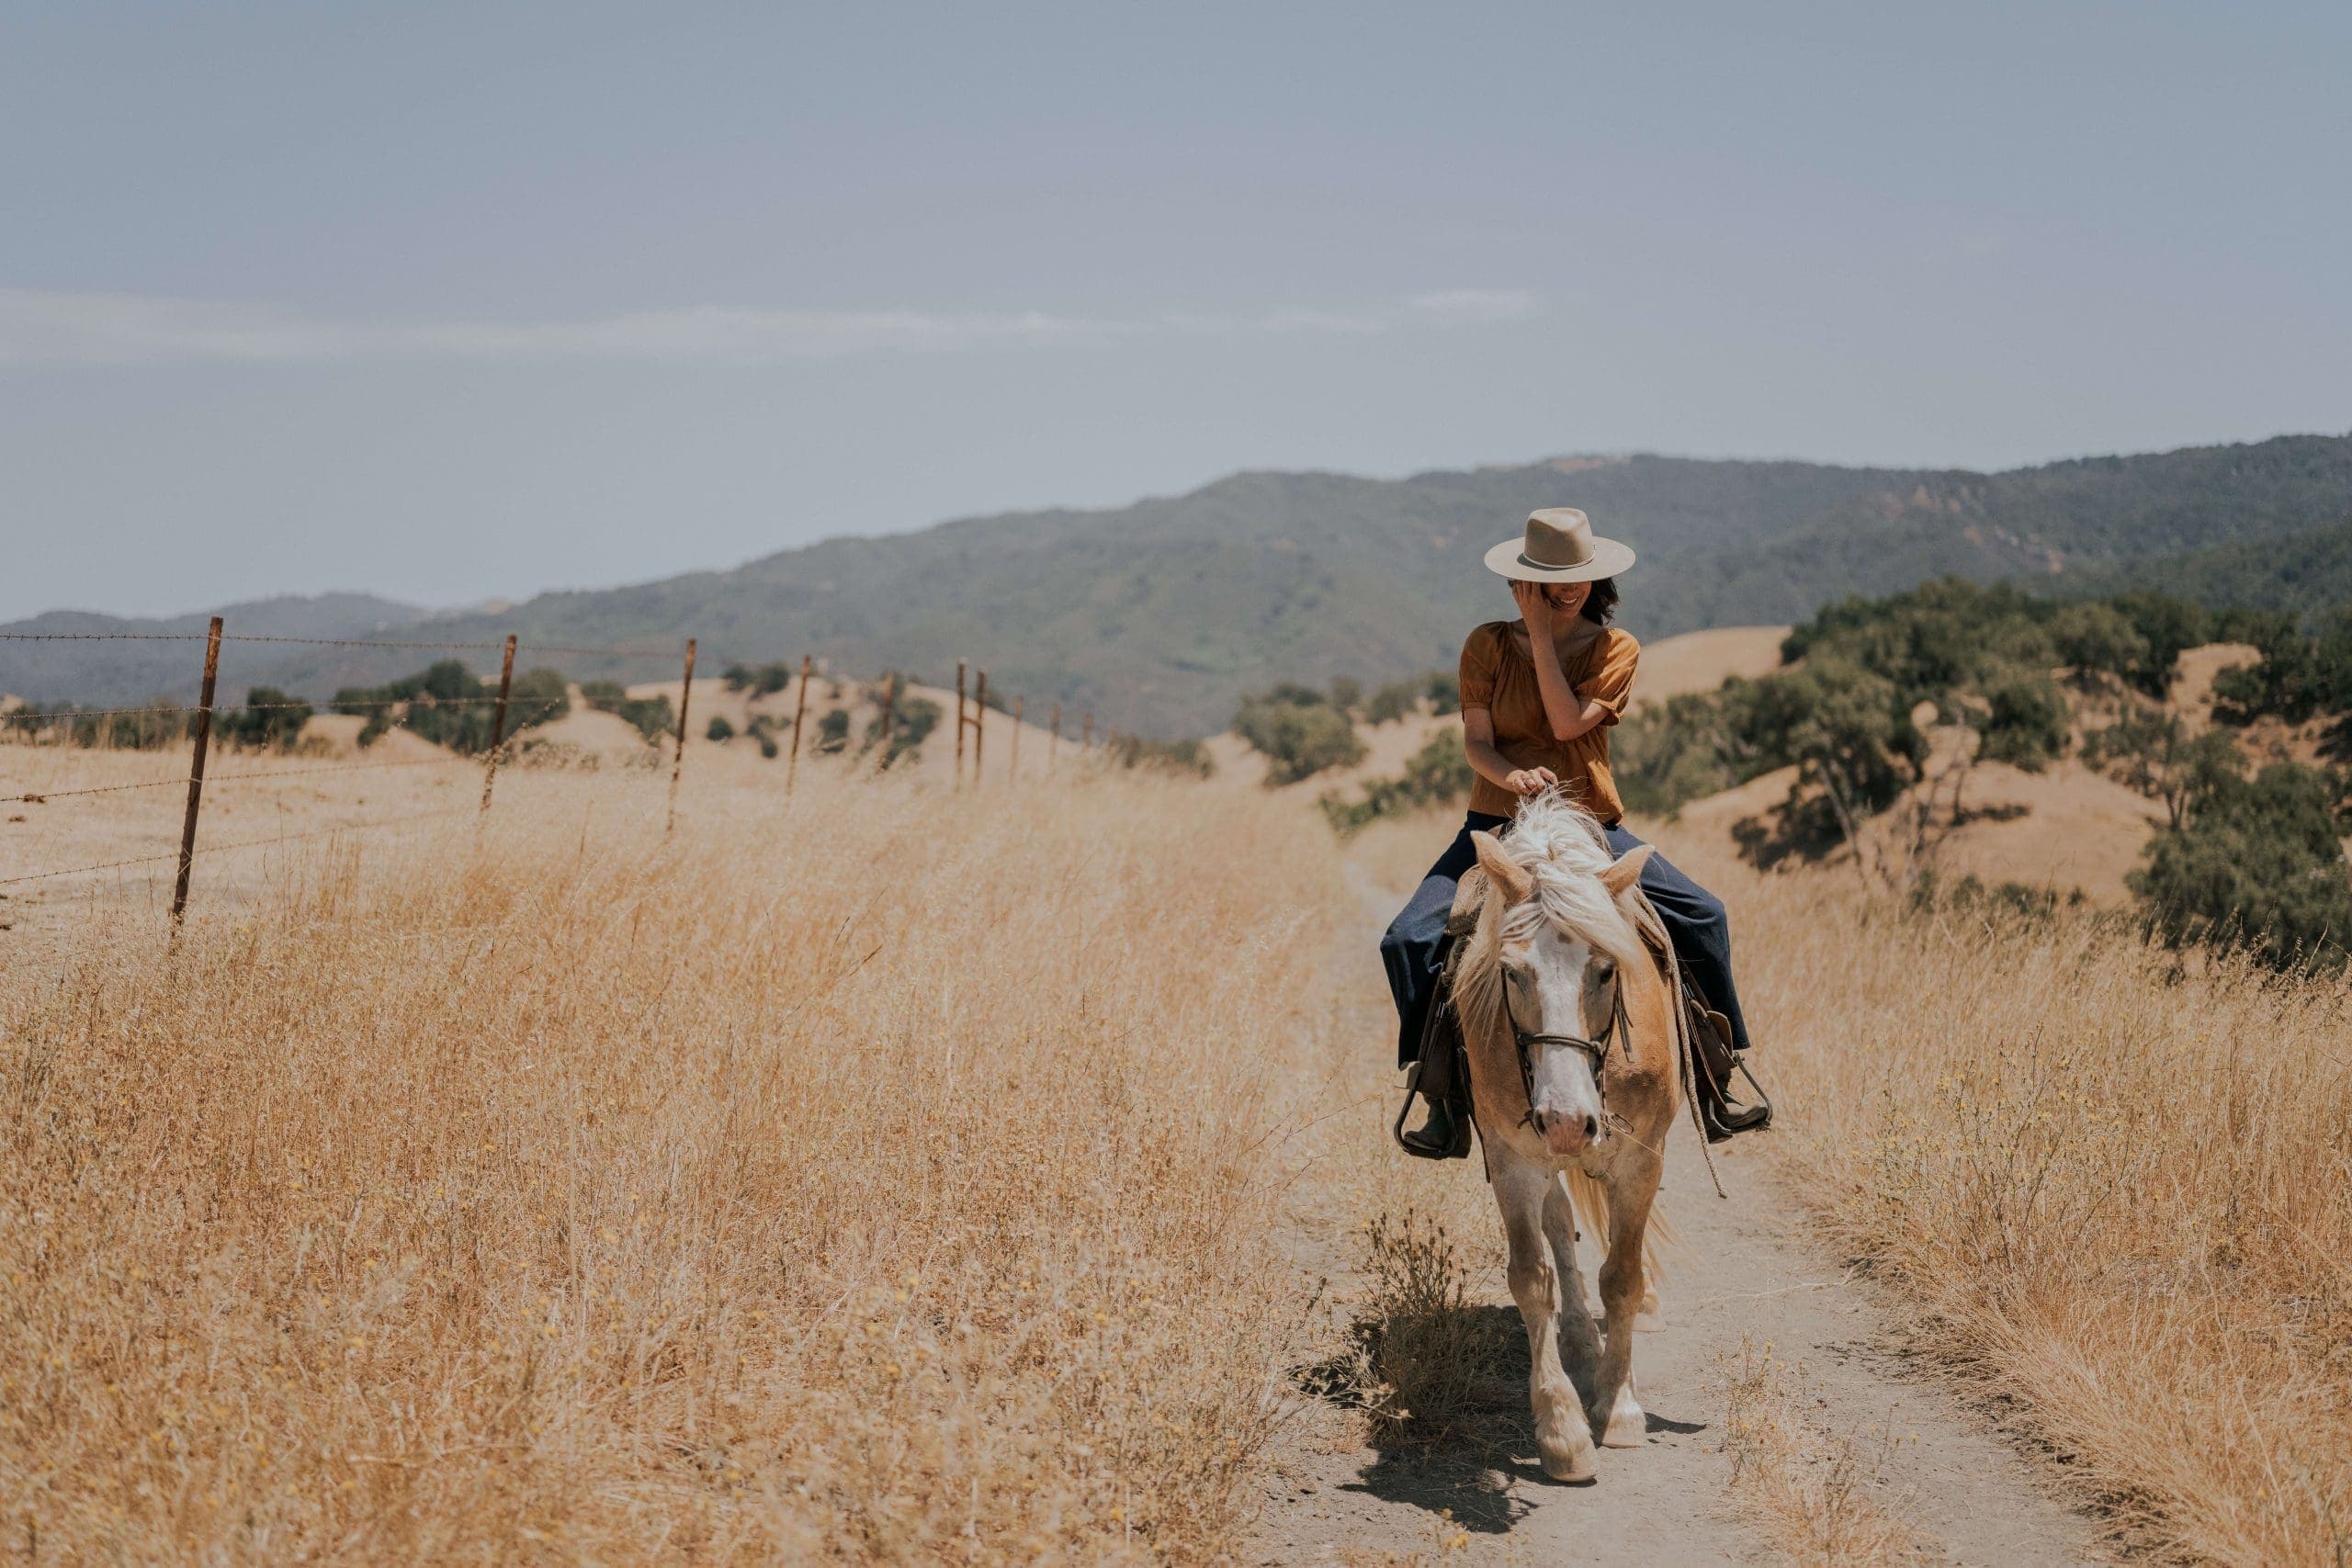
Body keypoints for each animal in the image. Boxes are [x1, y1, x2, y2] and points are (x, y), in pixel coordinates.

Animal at [1439, 799, 1683, 1485]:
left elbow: (1622, 1277)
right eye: (1512, 972)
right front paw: (1563, 1430)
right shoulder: (1513, 1158)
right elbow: (1531, 1277)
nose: (1569, 1121)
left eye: (1605, 969)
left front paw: (1620, 1408)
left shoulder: (1641, 1160)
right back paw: (1577, 1342)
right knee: (1557, 1227)